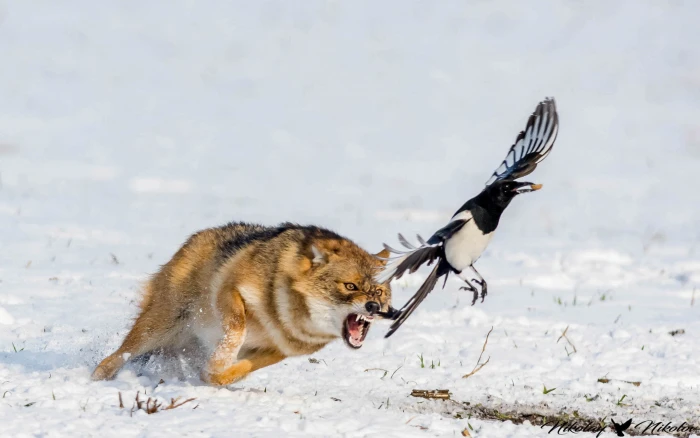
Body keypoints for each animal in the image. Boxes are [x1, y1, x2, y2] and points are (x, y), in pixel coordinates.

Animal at [91, 222, 392, 385]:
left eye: (378, 292)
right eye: (350, 286)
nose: (374, 308)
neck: (284, 318)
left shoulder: (279, 351)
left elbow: (239, 369)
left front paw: (214, 376)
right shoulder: (230, 290)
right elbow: (237, 330)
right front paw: (219, 363)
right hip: (159, 327)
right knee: (115, 357)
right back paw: (96, 378)